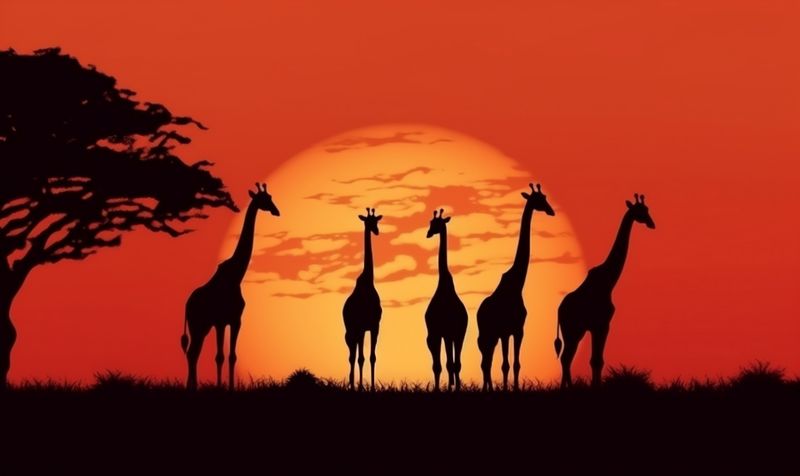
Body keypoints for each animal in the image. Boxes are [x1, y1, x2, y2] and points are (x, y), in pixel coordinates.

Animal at [181, 183, 280, 391]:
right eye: (265, 199)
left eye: (271, 197)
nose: (277, 211)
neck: (236, 277)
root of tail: (187, 304)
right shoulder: (220, 321)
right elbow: (219, 356)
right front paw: (221, 387)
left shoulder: (235, 320)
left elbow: (232, 356)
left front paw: (231, 386)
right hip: (197, 324)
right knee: (193, 352)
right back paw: (192, 386)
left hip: (202, 326)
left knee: (193, 352)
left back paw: (192, 386)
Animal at [477, 183, 555, 391]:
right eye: (539, 199)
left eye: (545, 197)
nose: (551, 211)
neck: (517, 285)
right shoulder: (505, 331)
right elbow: (505, 364)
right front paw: (505, 389)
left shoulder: (519, 330)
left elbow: (517, 363)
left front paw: (516, 388)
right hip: (486, 334)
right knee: (485, 361)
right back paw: (488, 389)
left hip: (492, 336)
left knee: (487, 361)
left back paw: (489, 388)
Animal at [555, 193, 655, 388]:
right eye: (640, 211)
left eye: (647, 209)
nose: (651, 223)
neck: (609, 282)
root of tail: (559, 310)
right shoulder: (602, 324)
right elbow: (596, 360)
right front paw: (596, 388)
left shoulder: (597, 326)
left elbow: (596, 360)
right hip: (572, 329)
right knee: (566, 357)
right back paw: (568, 387)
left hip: (575, 331)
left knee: (566, 358)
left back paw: (566, 387)